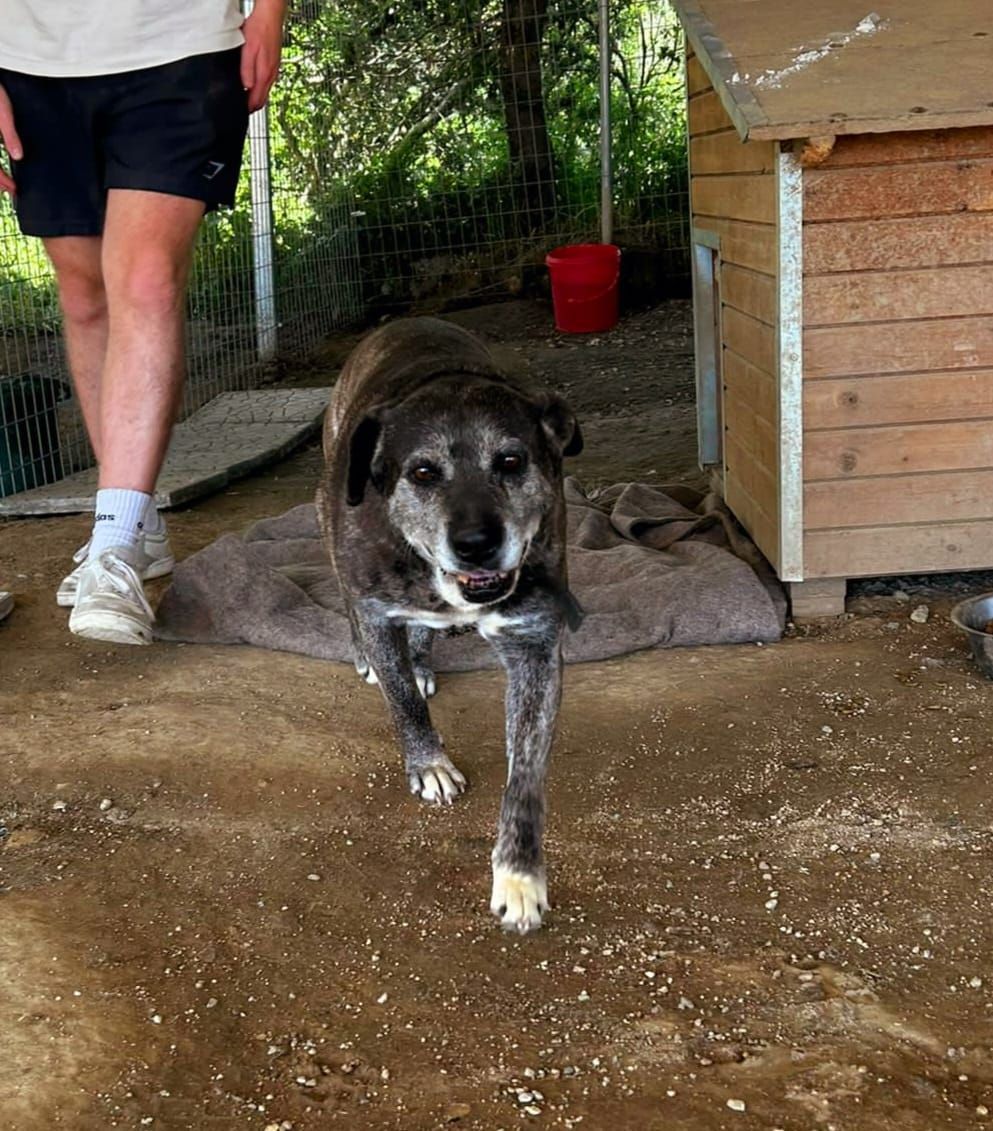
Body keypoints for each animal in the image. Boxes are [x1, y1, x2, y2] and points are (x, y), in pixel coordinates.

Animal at [316, 316, 582, 933]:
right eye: (422, 472)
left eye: (510, 461)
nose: (476, 543)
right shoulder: (374, 605)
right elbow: (402, 701)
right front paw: (429, 763)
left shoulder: (534, 643)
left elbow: (525, 773)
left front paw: (519, 874)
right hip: (324, 505)